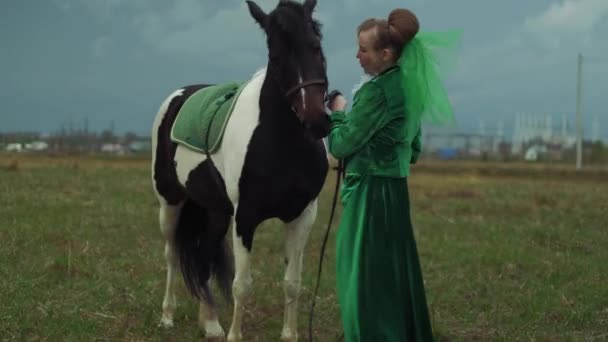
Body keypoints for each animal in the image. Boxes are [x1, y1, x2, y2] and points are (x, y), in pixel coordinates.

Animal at [152, 1, 332, 340]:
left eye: (316, 47)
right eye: (275, 56)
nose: (316, 121)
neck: (283, 143)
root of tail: (178, 96)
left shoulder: (303, 215)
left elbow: (292, 283)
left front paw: (289, 335)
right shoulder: (245, 217)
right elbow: (242, 285)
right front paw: (235, 335)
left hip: (216, 211)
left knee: (204, 258)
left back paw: (211, 324)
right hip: (171, 202)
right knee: (170, 254)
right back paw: (167, 315)